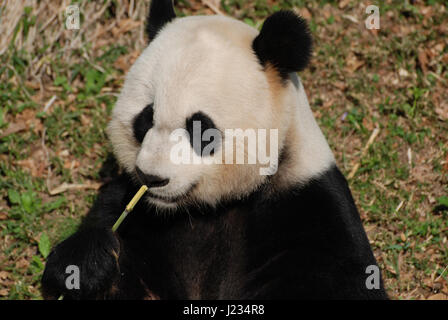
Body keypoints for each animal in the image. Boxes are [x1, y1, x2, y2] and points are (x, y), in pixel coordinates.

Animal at [41, 0, 388, 300]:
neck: (204, 210)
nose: (151, 178)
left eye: (200, 128)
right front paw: (91, 261)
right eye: (146, 118)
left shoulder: (310, 205)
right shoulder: (131, 205)